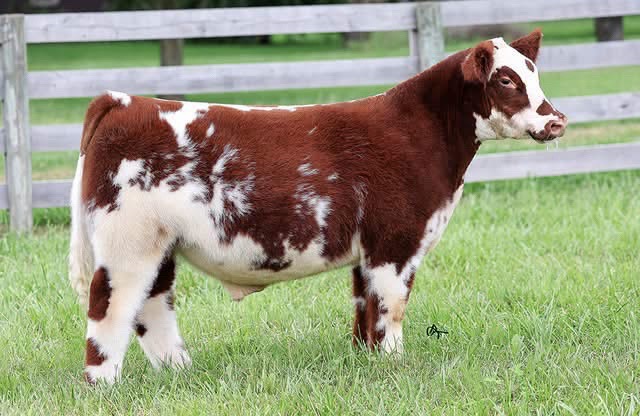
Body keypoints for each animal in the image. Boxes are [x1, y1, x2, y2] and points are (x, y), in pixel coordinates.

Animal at [69, 30, 567, 384]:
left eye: (534, 73)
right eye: (506, 79)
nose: (556, 120)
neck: (420, 132)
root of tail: (124, 101)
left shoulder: (369, 250)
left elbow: (365, 309)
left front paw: (369, 362)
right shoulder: (395, 241)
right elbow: (390, 308)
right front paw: (394, 364)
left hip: (159, 244)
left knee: (153, 306)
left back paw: (180, 371)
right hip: (128, 242)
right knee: (110, 304)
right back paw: (103, 385)